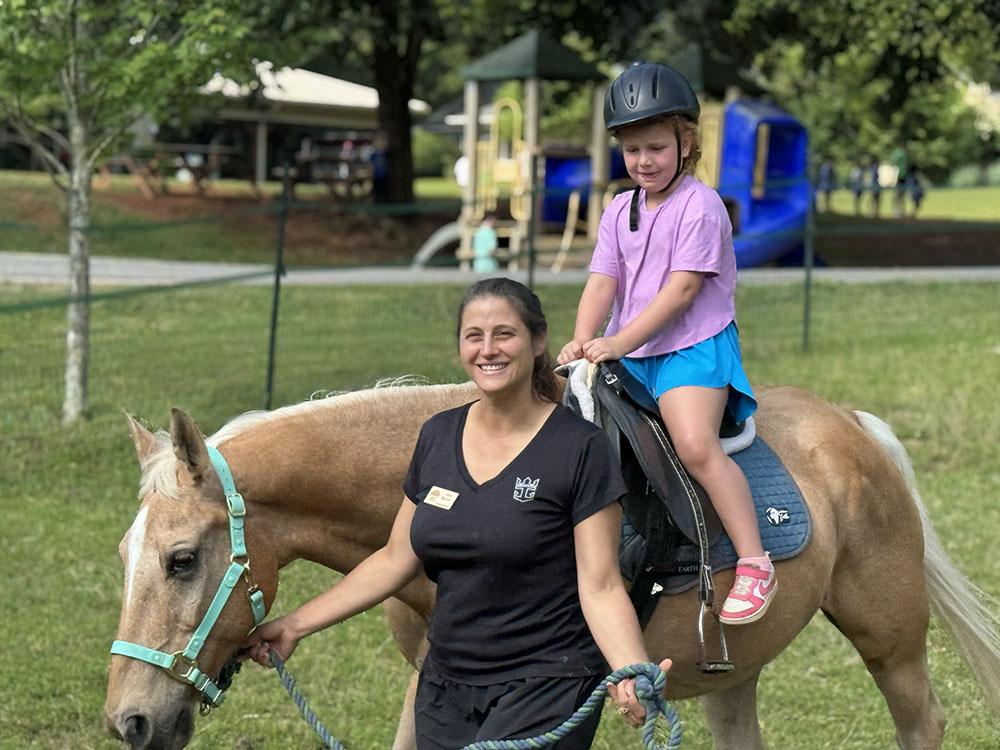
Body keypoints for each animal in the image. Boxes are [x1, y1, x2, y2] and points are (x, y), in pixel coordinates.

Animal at [104, 380, 1000, 750]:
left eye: (181, 560)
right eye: (124, 557)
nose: (129, 722)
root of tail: (853, 427)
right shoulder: (432, 680)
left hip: (892, 640)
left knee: (923, 721)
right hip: (733, 671)